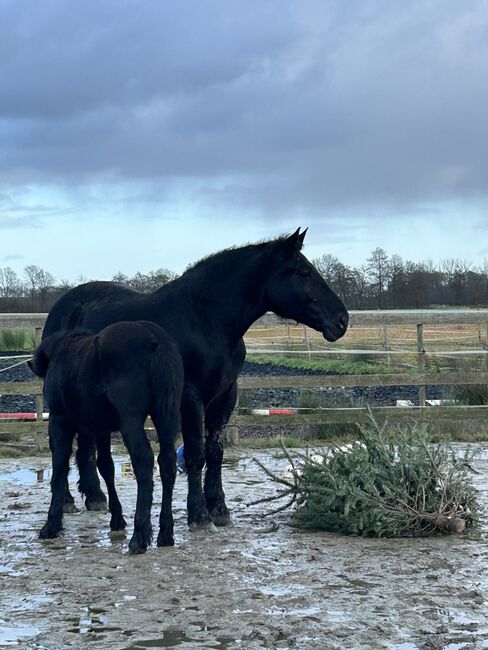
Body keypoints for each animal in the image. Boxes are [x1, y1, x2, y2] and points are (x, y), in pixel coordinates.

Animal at [29, 318, 185, 552]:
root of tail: (155, 339)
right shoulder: (100, 428)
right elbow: (105, 467)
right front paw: (117, 518)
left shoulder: (60, 422)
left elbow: (59, 469)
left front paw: (51, 525)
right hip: (165, 417)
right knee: (167, 462)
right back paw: (165, 533)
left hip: (130, 420)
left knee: (143, 461)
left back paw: (139, 536)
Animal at [42, 228, 346, 528]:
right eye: (303, 272)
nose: (342, 320)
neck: (205, 320)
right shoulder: (190, 399)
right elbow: (195, 454)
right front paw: (199, 514)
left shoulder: (225, 397)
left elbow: (215, 451)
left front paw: (219, 509)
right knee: (62, 448)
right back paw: (68, 501)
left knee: (84, 446)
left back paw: (94, 496)